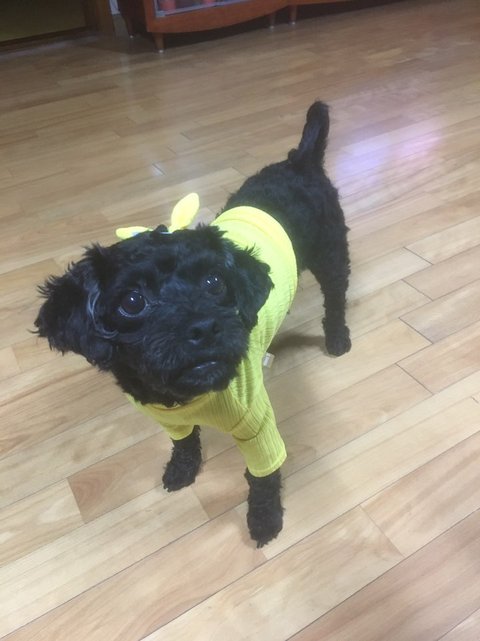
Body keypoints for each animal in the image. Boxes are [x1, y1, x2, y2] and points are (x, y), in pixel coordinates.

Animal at [35, 101, 351, 547]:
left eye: (214, 281)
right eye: (132, 301)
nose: (203, 328)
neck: (184, 397)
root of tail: (300, 160)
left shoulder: (257, 427)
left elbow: (264, 477)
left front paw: (265, 520)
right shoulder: (170, 422)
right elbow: (184, 445)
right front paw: (182, 471)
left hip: (331, 254)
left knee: (336, 299)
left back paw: (338, 339)